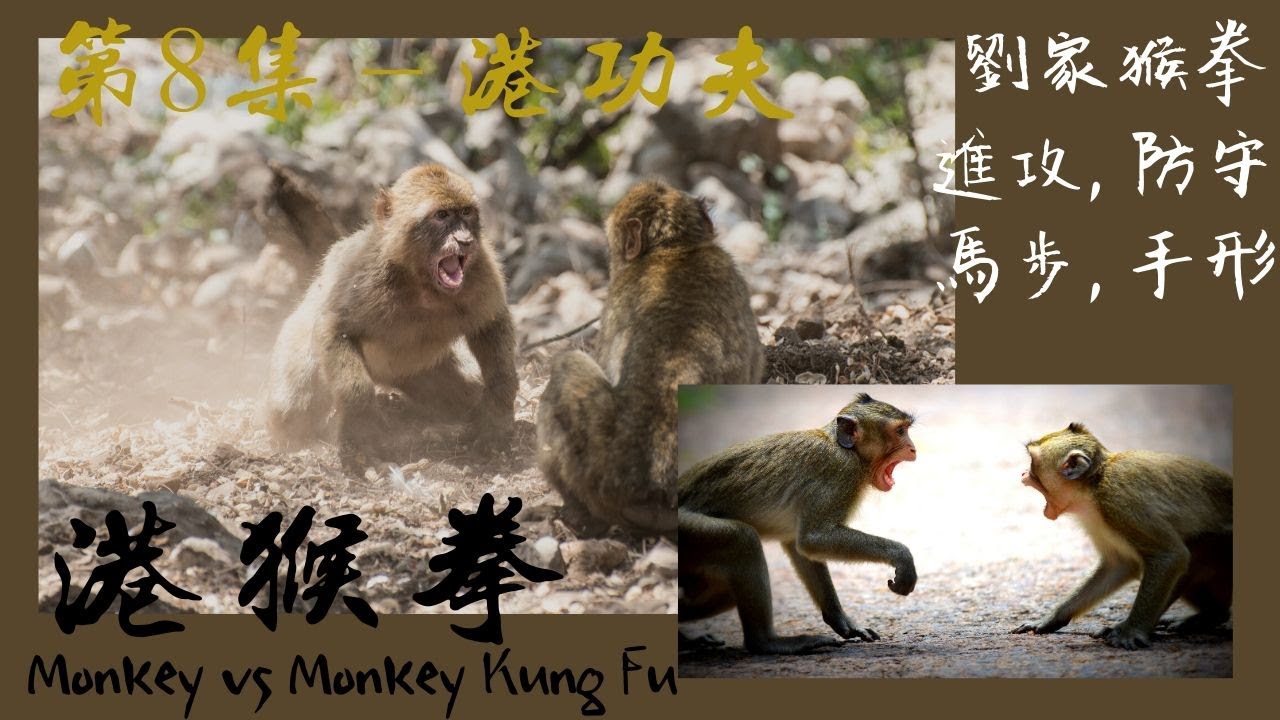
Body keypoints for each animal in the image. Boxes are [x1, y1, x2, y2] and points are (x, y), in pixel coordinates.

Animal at [266, 163, 517, 472]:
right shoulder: (364, 276)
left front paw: (498, 409)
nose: (465, 240)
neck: (421, 280)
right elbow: (335, 330)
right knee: (291, 406)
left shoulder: (482, 269)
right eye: (442, 216)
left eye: (467, 212)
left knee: (461, 392)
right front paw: (361, 432)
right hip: (298, 337)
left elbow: (490, 324)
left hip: (423, 371)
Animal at [678, 393, 918, 654]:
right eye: (900, 431)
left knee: (724, 592)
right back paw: (766, 642)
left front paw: (841, 621)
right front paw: (901, 556)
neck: (847, 450)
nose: (913, 448)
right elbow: (814, 539)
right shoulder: (838, 474)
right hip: (685, 531)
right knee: (741, 540)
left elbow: (798, 545)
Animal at [1013, 423, 1232, 650]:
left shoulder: (1119, 502)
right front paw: (1052, 618)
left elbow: (1170, 555)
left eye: (1033, 463)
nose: (1023, 474)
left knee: (1196, 546)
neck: (1093, 486)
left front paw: (1131, 631)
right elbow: (1118, 565)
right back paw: (1211, 615)